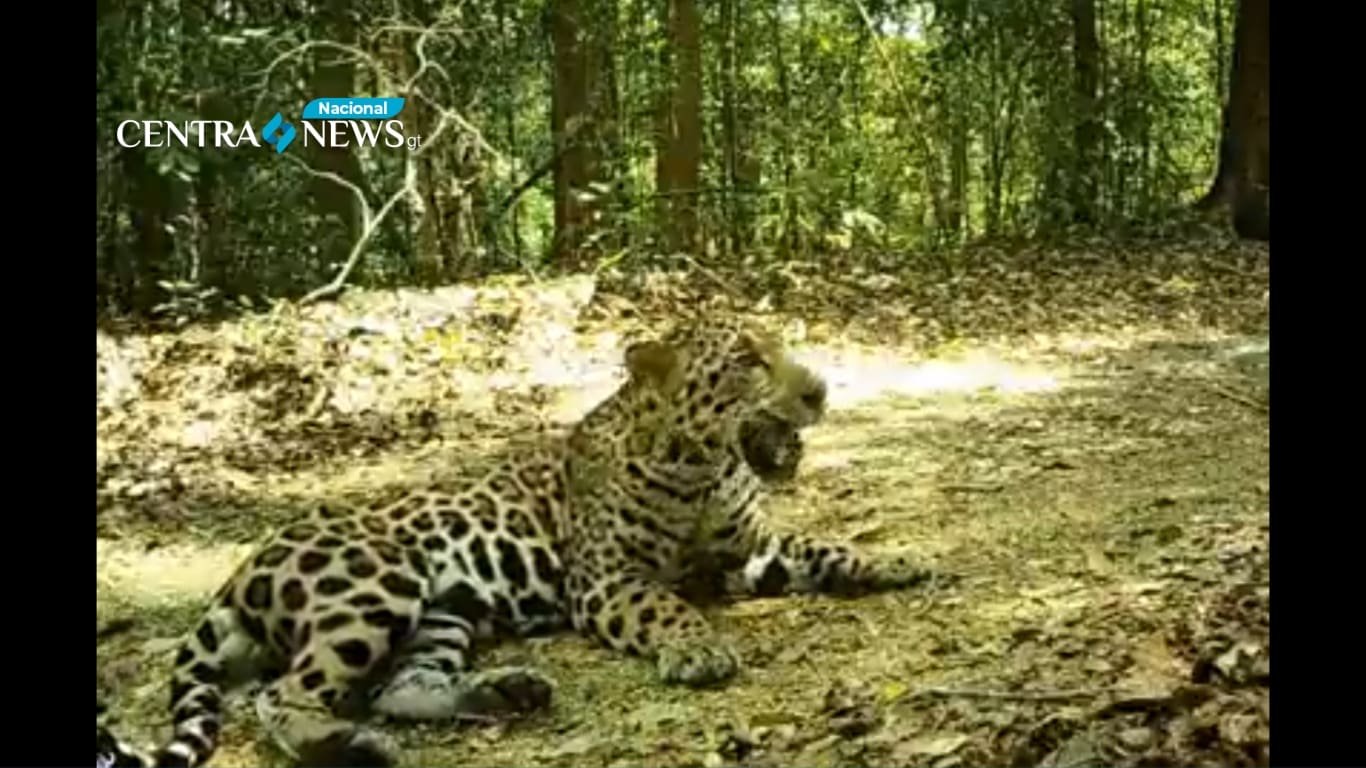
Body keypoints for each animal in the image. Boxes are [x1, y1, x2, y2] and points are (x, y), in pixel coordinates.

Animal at [96, 315, 944, 768]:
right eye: (745, 361)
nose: (820, 390)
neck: (702, 467)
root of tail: (241, 571)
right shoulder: (606, 583)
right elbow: (665, 606)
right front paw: (697, 648)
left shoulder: (751, 553)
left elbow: (824, 547)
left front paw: (898, 559)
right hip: (377, 583)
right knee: (281, 696)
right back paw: (348, 741)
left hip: (445, 611)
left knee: (404, 685)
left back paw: (505, 691)